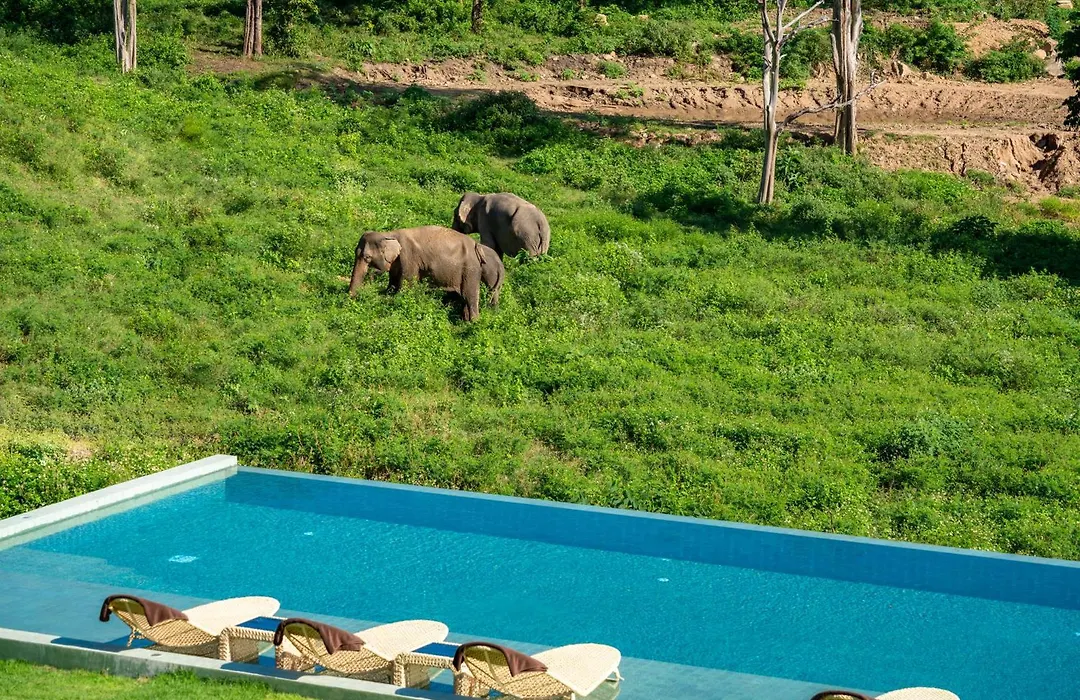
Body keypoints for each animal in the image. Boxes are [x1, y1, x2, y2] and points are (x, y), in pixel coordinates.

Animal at [348, 226, 501, 321]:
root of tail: (476, 247)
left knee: (470, 297)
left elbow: (406, 288)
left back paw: (473, 323)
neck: (389, 234)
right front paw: (385, 295)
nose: (353, 298)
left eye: (367, 257)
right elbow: (392, 284)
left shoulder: (408, 258)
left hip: (470, 270)